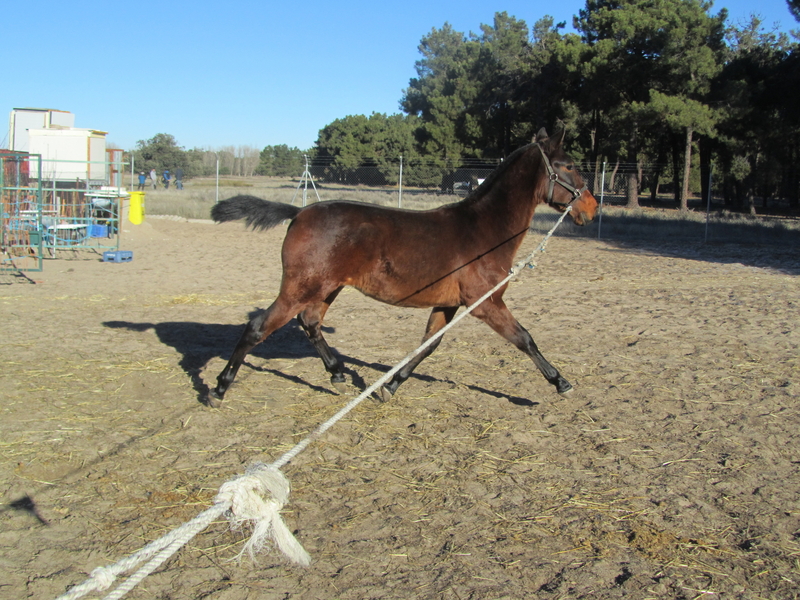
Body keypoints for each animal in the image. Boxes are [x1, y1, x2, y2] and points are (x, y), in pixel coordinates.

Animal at [207, 128, 598, 408]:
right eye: (569, 165)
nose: (592, 208)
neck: (484, 230)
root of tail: (299, 211)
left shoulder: (448, 304)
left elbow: (427, 346)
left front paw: (390, 387)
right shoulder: (485, 303)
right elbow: (524, 338)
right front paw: (561, 382)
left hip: (326, 288)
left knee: (310, 322)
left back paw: (338, 373)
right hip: (300, 288)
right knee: (258, 327)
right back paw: (219, 389)